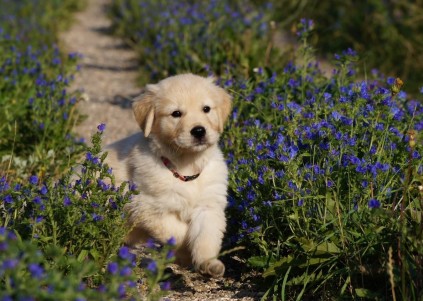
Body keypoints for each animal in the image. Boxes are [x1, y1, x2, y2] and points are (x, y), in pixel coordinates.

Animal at [105, 72, 232, 276]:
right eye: (176, 114)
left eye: (206, 109)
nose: (199, 131)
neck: (186, 166)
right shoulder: (147, 206)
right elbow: (178, 232)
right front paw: (185, 253)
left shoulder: (209, 206)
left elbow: (206, 238)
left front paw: (208, 263)